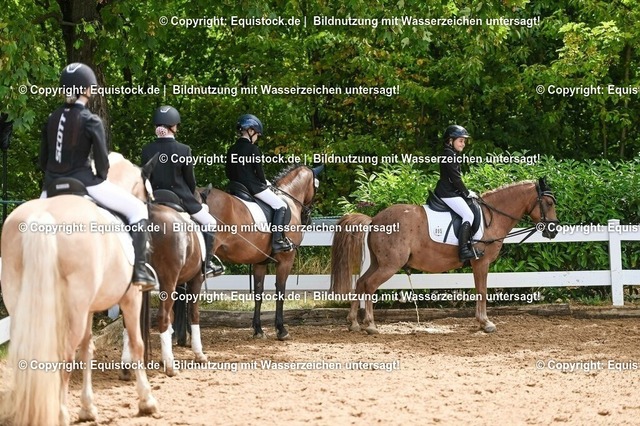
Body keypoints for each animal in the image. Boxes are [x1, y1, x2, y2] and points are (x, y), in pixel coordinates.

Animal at [0, 153, 158, 426]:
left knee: (27, 355)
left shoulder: (88, 309)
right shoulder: (131, 298)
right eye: (148, 199)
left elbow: (87, 349)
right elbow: (136, 344)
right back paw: (60, 414)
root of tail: (42, 219)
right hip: (71, 309)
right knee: (63, 356)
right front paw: (146, 401)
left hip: (21, 304)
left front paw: (87, 408)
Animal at [203, 164, 322, 340]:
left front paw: (258, 330)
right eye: (316, 187)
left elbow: (258, 293)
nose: (308, 220)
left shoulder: (259, 262)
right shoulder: (286, 260)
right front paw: (281, 330)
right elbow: (280, 291)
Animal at [330, 178, 559, 334]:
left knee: (360, 283)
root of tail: (374, 220)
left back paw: (354, 323)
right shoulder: (481, 262)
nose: (553, 230)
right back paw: (370, 325)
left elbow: (479, 291)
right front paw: (486, 323)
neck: (492, 217)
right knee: (369, 285)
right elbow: (482, 291)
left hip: (379, 263)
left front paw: (482, 322)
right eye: (548, 203)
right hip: (389, 265)